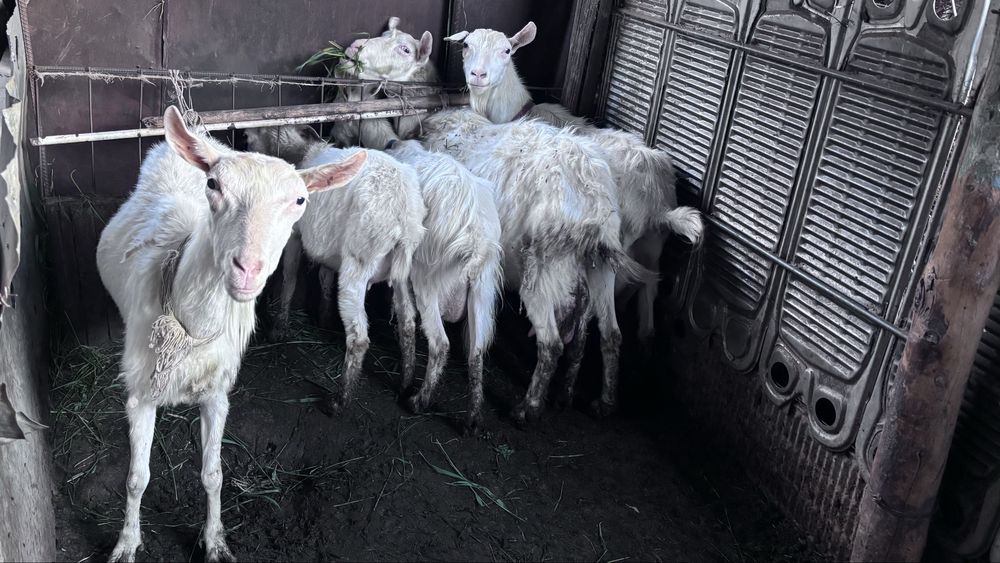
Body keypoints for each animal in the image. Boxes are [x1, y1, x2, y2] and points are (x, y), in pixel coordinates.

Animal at [97, 106, 366, 562]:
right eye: (213, 184)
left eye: (300, 200)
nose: (248, 269)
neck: (190, 324)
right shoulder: (140, 392)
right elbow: (137, 478)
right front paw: (127, 543)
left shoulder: (218, 393)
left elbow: (213, 474)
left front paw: (216, 541)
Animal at [245, 125, 426, 413]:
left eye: (264, 130)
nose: (244, 136)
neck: (303, 154)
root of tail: (402, 214)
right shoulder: (329, 247)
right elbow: (325, 278)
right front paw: (324, 317)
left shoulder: (294, 235)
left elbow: (289, 279)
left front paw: (279, 328)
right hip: (403, 273)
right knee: (408, 323)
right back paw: (406, 385)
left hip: (358, 266)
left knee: (359, 337)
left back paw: (339, 401)